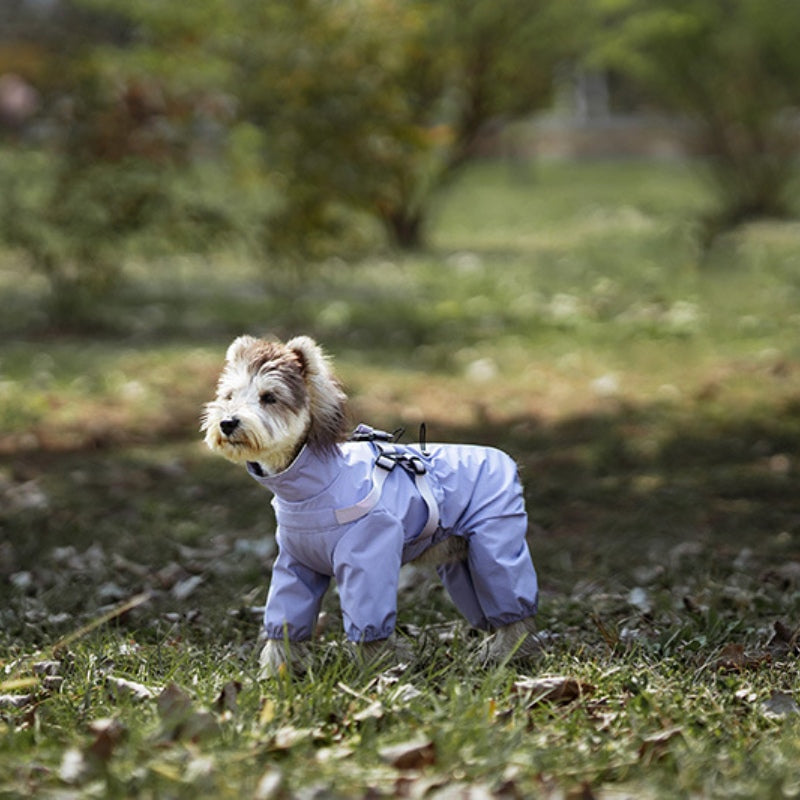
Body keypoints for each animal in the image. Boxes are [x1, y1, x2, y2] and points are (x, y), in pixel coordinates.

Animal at [200, 332, 540, 676]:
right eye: (229, 395)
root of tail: (508, 461)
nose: (227, 422)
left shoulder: (369, 556)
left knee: (512, 607)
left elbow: (369, 621)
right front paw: (279, 672)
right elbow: (286, 619)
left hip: (494, 545)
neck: (311, 487)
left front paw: (378, 667)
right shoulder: (295, 564)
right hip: (462, 561)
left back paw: (510, 655)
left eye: (269, 397)